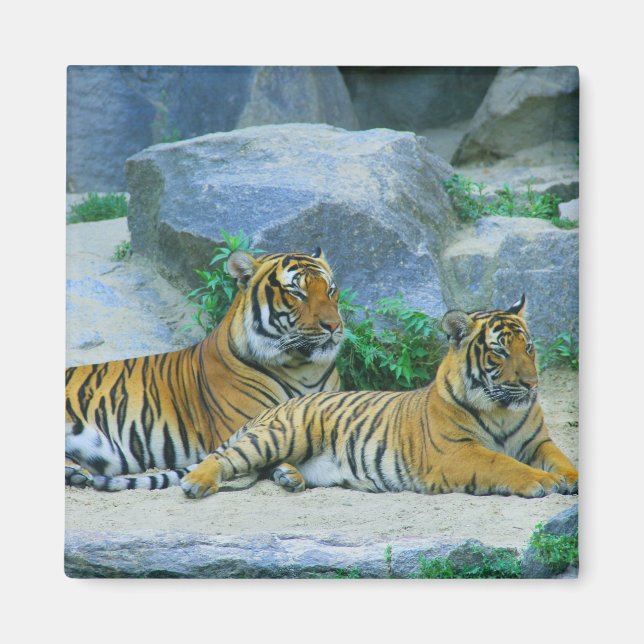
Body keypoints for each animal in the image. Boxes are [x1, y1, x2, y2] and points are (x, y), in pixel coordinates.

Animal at [65, 248, 343, 491]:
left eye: (330, 290)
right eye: (297, 293)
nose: (333, 325)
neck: (303, 368)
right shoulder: (248, 427)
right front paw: (289, 473)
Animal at [180, 295, 578, 500]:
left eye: (528, 348)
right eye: (500, 353)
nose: (531, 384)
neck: (503, 410)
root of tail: (278, 406)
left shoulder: (538, 442)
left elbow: (561, 458)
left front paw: (571, 478)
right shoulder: (456, 452)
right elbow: (502, 463)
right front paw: (542, 482)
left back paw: (289, 478)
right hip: (280, 435)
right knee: (224, 457)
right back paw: (196, 483)